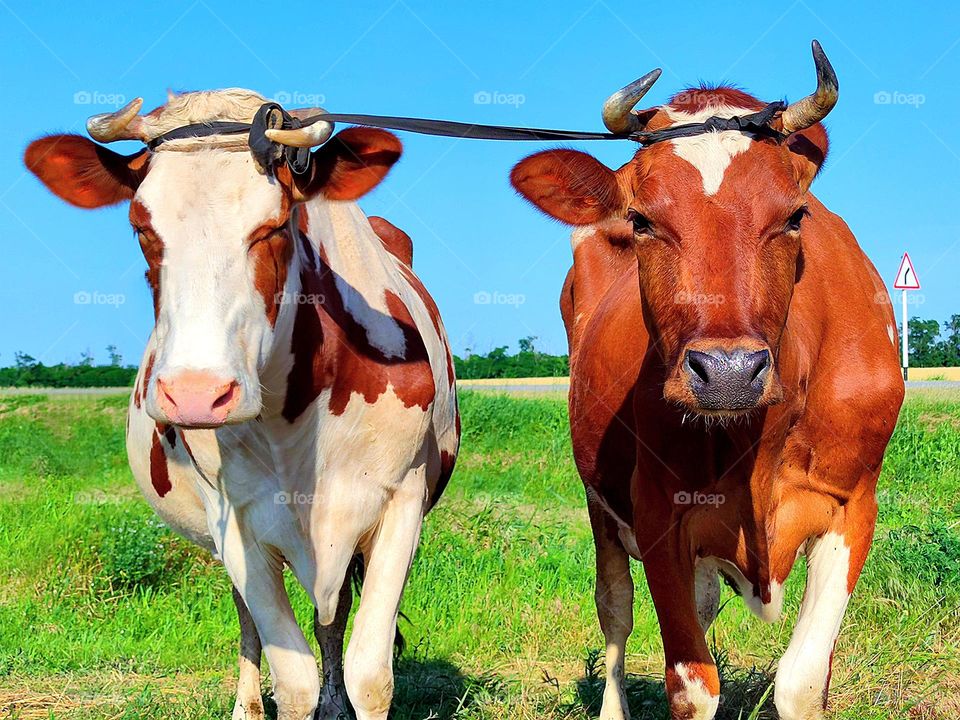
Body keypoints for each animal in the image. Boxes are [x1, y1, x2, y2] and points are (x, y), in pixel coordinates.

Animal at [22, 90, 458, 720]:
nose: (197, 394)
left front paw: (345, 697)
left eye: (273, 226)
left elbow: (370, 673)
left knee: (331, 621)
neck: (295, 425)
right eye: (140, 227)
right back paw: (247, 704)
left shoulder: (401, 501)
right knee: (253, 620)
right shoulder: (235, 519)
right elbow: (293, 678)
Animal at [512, 43, 904, 720]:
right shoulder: (657, 510)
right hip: (599, 500)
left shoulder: (853, 504)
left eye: (795, 215)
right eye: (642, 220)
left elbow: (803, 680)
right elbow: (692, 686)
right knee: (615, 611)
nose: (727, 373)